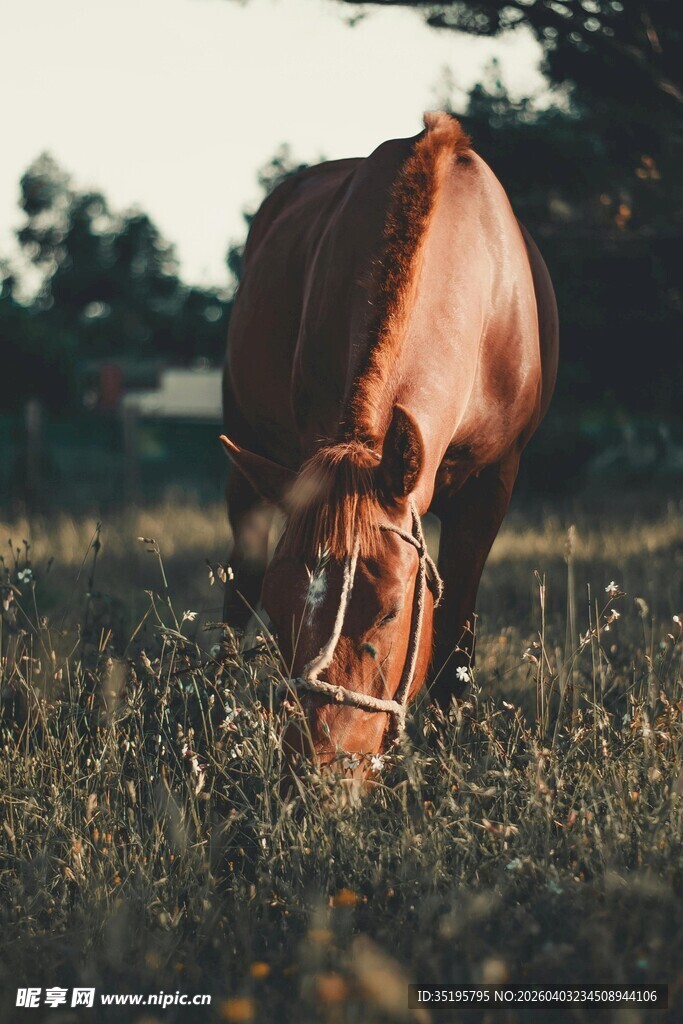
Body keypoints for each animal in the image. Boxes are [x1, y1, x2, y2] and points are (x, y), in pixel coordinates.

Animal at [220, 112, 558, 768]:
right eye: (280, 608)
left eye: (393, 611)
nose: (321, 772)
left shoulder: (492, 487)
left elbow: (455, 643)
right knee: (235, 586)